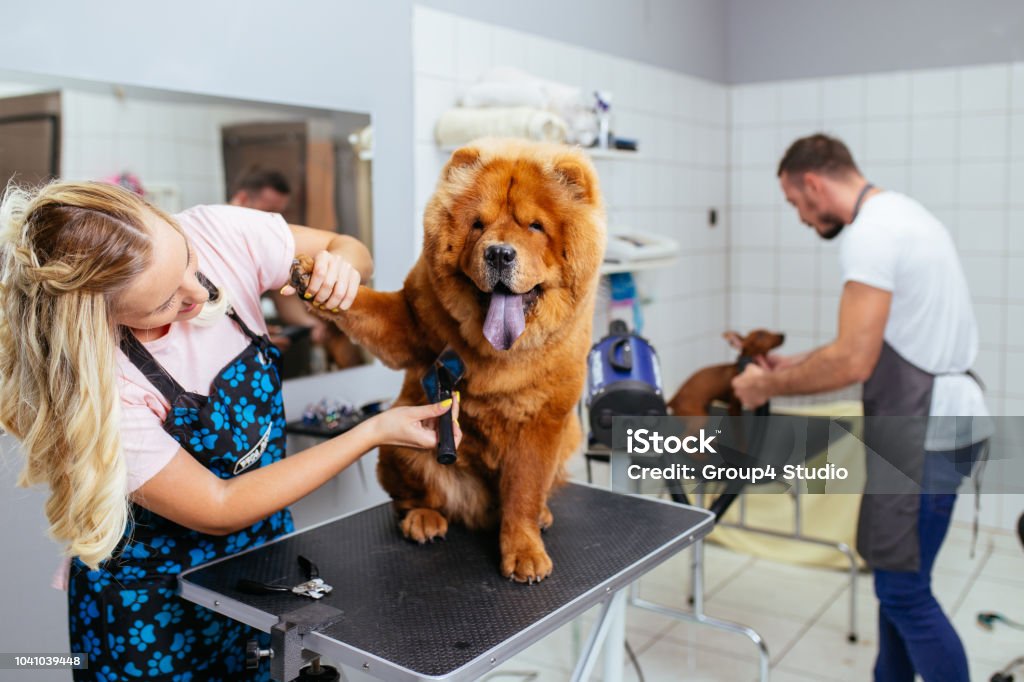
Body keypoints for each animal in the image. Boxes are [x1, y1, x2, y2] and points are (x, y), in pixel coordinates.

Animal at [292, 137, 602, 577]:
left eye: (534, 226)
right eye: (478, 224)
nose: (499, 253)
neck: (499, 351)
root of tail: (481, 510)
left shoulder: (542, 422)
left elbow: (524, 491)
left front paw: (524, 551)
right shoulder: (410, 320)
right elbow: (367, 306)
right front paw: (319, 278)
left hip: (567, 438)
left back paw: (540, 516)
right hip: (399, 449)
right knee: (414, 497)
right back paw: (423, 520)